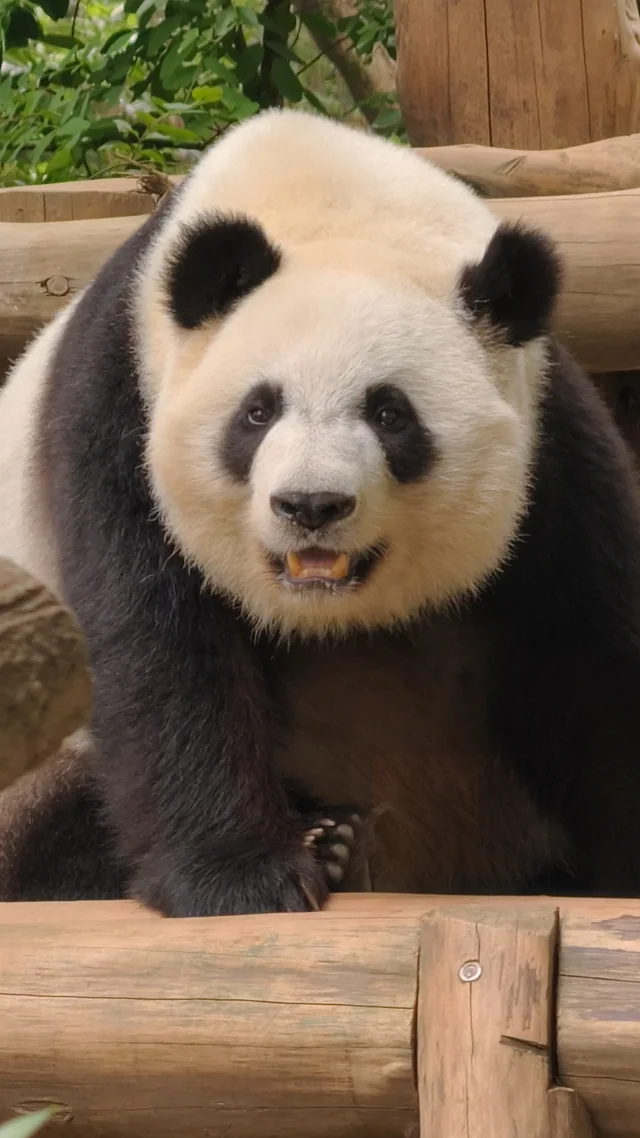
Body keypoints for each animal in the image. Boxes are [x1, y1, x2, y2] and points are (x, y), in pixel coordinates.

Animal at [1, 107, 640, 915]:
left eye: (391, 414)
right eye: (258, 410)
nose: (311, 505)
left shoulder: (549, 444)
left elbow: (590, 658)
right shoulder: (119, 409)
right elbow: (158, 642)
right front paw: (241, 880)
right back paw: (323, 837)